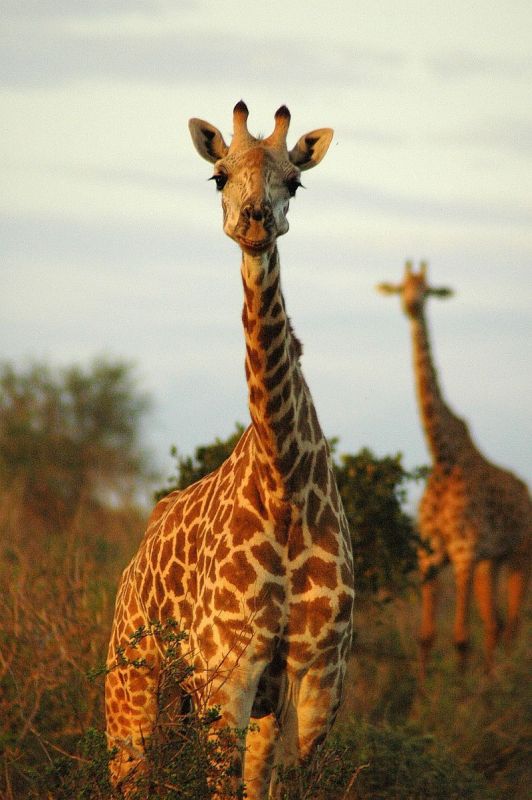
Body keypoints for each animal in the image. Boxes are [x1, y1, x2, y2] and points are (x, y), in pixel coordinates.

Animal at [105, 101, 354, 800]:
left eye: (294, 181)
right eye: (219, 176)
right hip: (132, 684)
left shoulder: (317, 674)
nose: (254, 221)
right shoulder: (229, 670)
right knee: (129, 773)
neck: (284, 479)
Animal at [376, 260, 528, 676]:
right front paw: (422, 691)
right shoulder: (430, 557)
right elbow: (427, 637)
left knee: (512, 623)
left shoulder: (464, 552)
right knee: (495, 623)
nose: (411, 306)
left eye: (428, 291)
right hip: (491, 561)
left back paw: (502, 680)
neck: (443, 460)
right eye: (401, 289)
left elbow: (460, 639)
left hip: (519, 554)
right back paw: (491, 679)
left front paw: (458, 693)